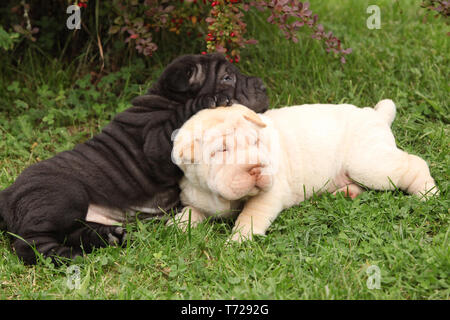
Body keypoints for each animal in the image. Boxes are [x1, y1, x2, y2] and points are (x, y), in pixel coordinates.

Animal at [0, 52, 268, 264]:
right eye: (227, 78)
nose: (263, 86)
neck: (165, 99)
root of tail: (8, 193)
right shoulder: (155, 145)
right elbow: (177, 120)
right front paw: (207, 101)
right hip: (63, 195)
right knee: (28, 243)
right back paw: (66, 256)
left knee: (72, 231)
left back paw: (109, 236)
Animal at [171, 101, 438, 241]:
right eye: (222, 150)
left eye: (256, 142)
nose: (257, 168)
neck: (220, 196)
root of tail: (375, 114)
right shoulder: (196, 195)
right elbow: (191, 212)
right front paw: (177, 225)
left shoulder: (270, 193)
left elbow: (251, 214)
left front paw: (239, 238)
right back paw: (346, 193)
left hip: (369, 163)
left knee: (413, 164)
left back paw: (428, 192)